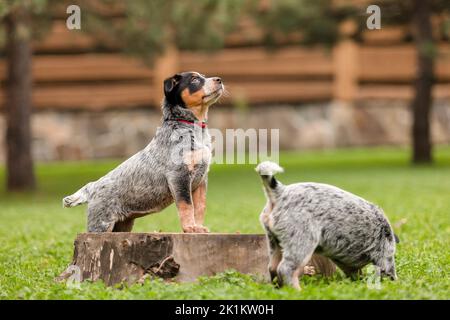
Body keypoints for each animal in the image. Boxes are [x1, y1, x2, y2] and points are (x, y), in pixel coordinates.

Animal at [62, 72, 224, 232]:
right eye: (194, 79)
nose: (219, 79)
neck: (191, 126)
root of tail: (92, 186)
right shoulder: (179, 176)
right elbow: (186, 206)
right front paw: (190, 228)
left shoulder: (201, 179)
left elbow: (200, 207)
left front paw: (199, 227)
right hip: (101, 224)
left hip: (122, 225)